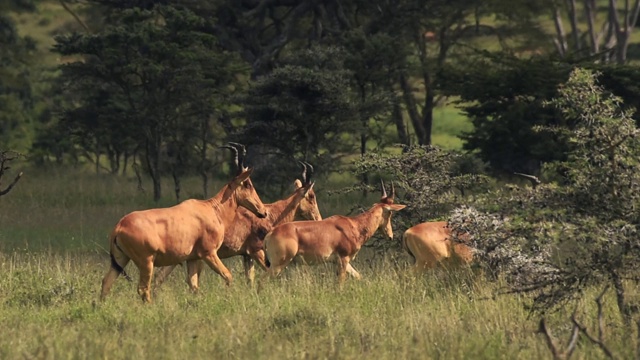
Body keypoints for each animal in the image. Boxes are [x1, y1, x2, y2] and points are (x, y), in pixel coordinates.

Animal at [99, 142, 268, 302]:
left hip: (120, 260)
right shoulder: (208, 253)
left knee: (106, 282)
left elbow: (194, 286)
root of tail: (119, 226)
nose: (263, 212)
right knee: (143, 289)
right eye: (248, 183)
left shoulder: (192, 258)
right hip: (146, 262)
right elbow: (228, 276)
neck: (212, 208)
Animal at [153, 162, 322, 288]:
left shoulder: (246, 255)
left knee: (159, 277)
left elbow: (250, 280)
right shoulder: (256, 251)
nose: (319, 219)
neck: (270, 215)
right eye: (311, 196)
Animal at [260, 180, 404, 284]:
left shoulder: (340, 262)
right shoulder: (343, 259)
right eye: (390, 212)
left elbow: (359, 276)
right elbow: (340, 285)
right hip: (278, 264)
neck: (353, 225)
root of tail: (270, 234)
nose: (390, 236)